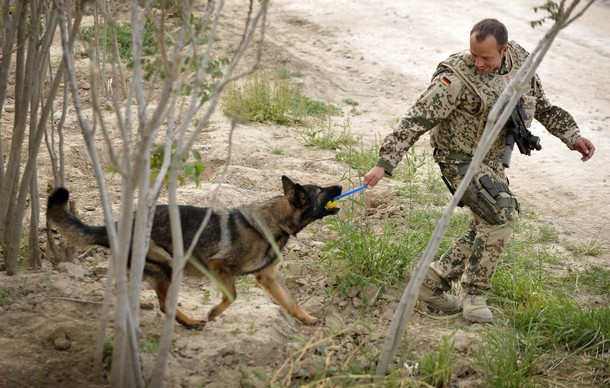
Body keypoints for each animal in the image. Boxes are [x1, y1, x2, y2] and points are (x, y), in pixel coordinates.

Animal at [46, 175, 342, 328]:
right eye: (321, 190)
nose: (340, 185)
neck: (276, 221)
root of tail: (116, 225)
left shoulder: (269, 278)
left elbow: (291, 302)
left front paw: (307, 318)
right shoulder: (218, 267)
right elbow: (232, 295)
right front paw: (213, 313)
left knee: (127, 285)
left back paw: (139, 305)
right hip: (168, 266)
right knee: (164, 305)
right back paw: (189, 322)